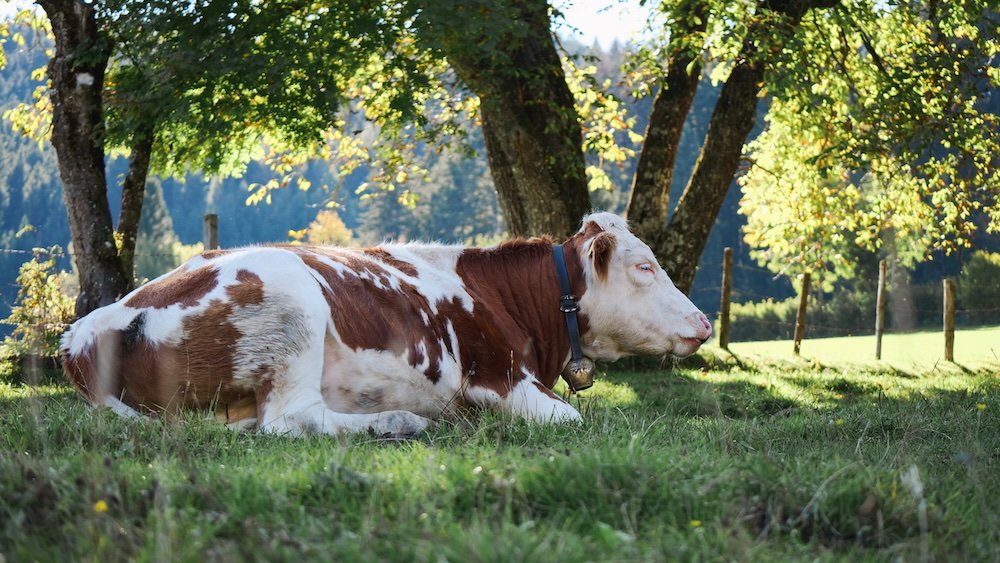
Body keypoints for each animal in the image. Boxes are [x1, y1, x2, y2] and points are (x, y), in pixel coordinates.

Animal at [60, 212, 712, 436]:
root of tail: (95, 323)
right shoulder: (499, 378)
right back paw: (398, 422)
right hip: (295, 304)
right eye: (645, 266)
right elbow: (571, 419)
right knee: (288, 421)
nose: (705, 323)